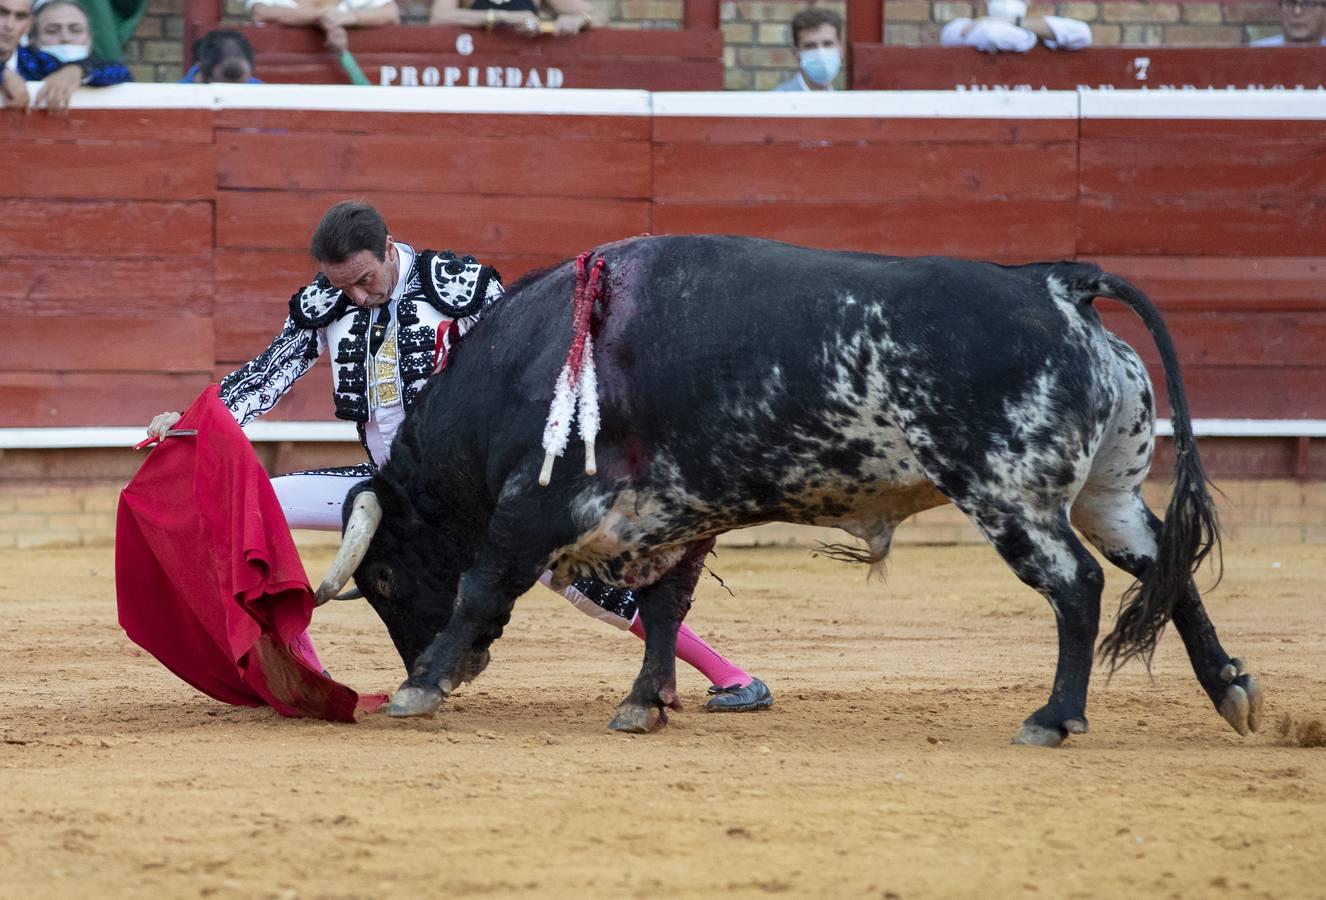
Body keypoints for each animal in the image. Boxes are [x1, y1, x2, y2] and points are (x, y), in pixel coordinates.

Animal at [312, 231, 1262, 747]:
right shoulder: (678, 515)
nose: (458, 668)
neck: (528, 362)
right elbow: (667, 610)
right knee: (1161, 567)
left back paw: (1054, 717)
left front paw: (420, 687)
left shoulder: (539, 504)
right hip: (1107, 493)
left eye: (384, 577)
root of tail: (1054, 282)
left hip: (1010, 495)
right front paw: (645, 704)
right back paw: (1232, 690)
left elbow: (481, 583)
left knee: (1078, 584)